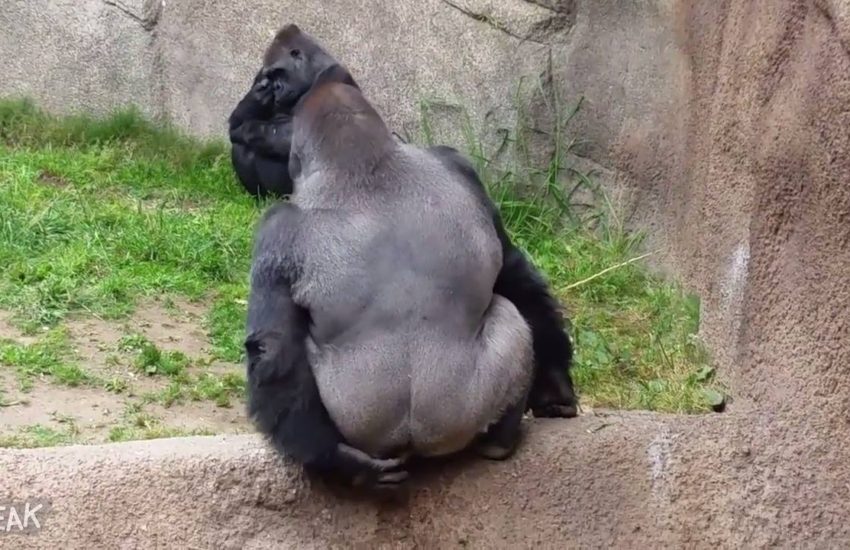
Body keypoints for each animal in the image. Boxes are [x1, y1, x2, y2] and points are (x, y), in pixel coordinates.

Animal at [245, 64, 538, 486]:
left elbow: (271, 347)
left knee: (511, 319)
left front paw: (336, 458)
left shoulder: (278, 228)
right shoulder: (462, 171)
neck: (371, 168)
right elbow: (517, 273)